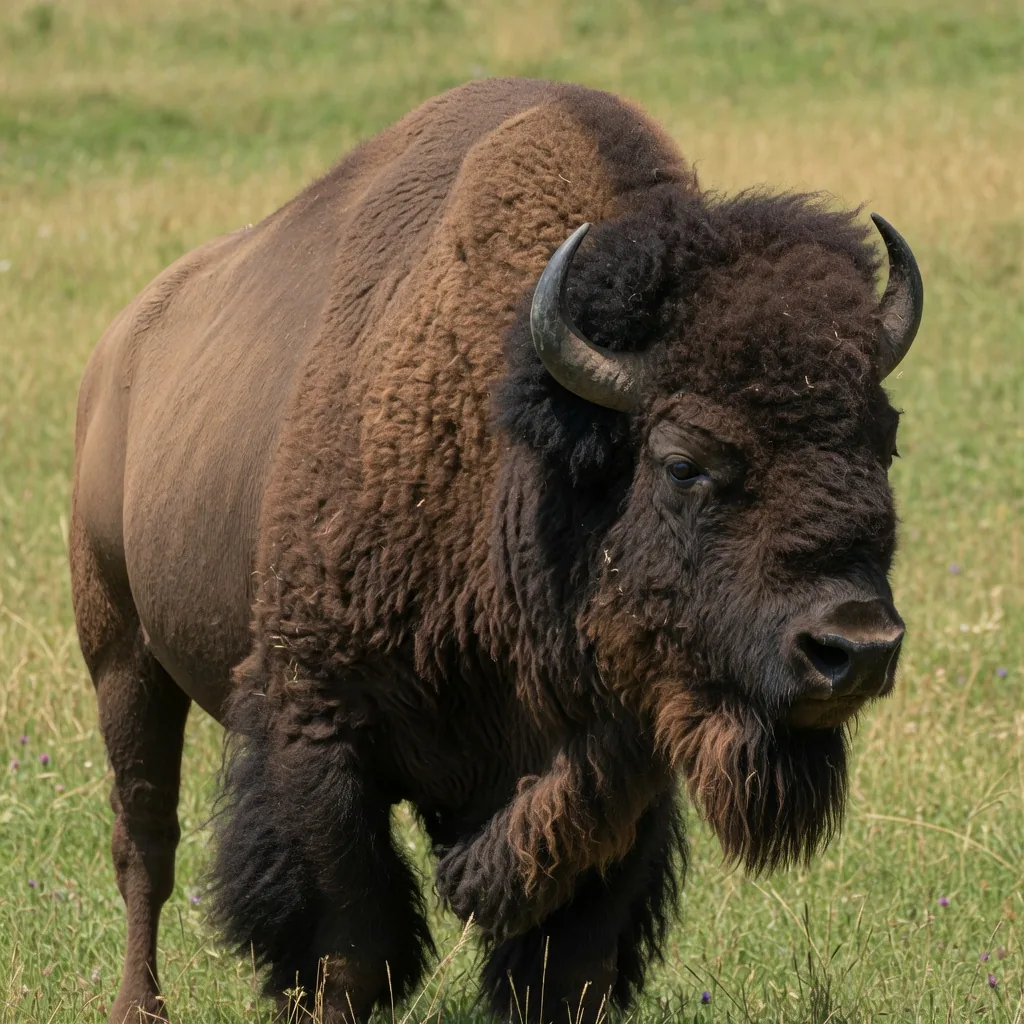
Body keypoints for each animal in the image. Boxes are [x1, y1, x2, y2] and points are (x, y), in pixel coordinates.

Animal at [70, 78, 922, 1023]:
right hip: (122, 657)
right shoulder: (315, 723)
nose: (855, 647)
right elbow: (350, 943)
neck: (523, 464)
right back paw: (137, 1006)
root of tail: (119, 353)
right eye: (684, 463)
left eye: (884, 441)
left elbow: (570, 960)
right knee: (146, 838)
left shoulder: (618, 770)